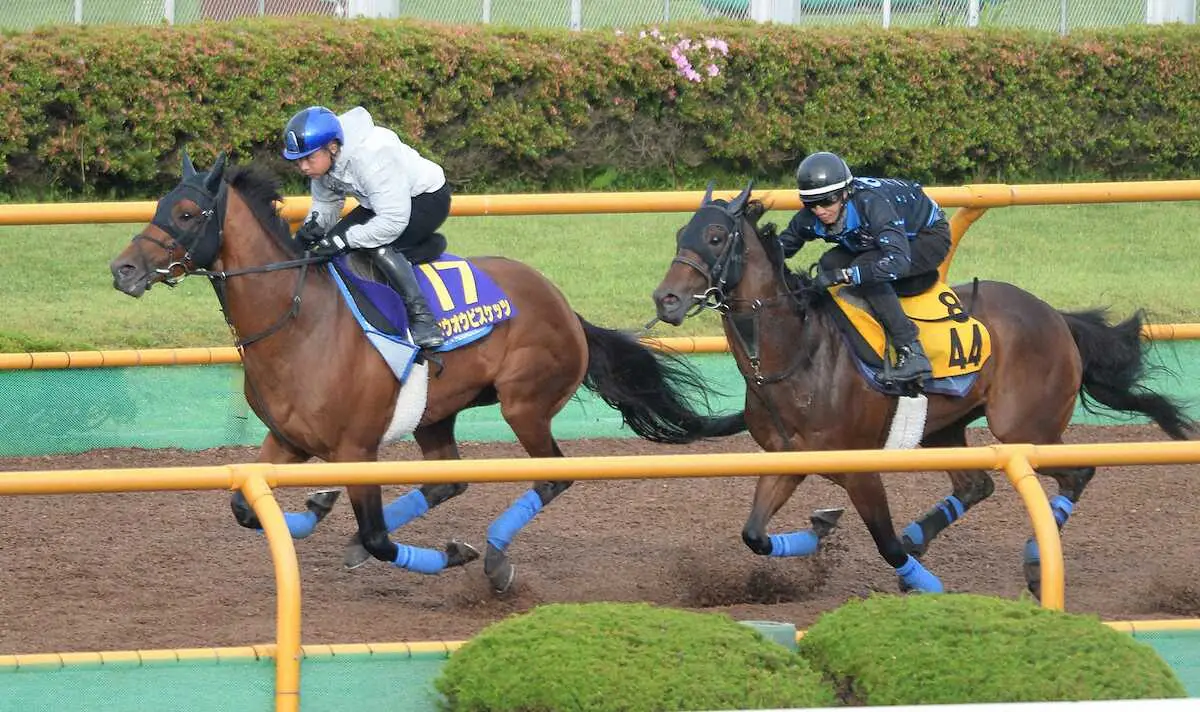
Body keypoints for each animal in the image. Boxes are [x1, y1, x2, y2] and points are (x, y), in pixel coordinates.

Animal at [108, 157, 744, 593]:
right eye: (158, 207)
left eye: (187, 214)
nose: (123, 269)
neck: (297, 320)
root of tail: (564, 306)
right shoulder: (287, 439)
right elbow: (246, 509)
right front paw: (313, 508)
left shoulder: (356, 449)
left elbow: (379, 539)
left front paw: (451, 553)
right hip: (435, 412)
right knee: (448, 481)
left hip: (524, 404)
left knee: (552, 476)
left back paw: (494, 557)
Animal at [652, 183, 1195, 593]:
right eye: (680, 233)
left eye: (717, 236)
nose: (666, 299)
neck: (799, 353)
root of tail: (1056, 316)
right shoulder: (788, 459)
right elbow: (754, 535)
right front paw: (821, 528)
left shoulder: (860, 470)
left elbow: (886, 544)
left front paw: (926, 586)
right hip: (945, 426)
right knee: (978, 484)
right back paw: (927, 535)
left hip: (1025, 428)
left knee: (1078, 472)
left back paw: (1035, 561)